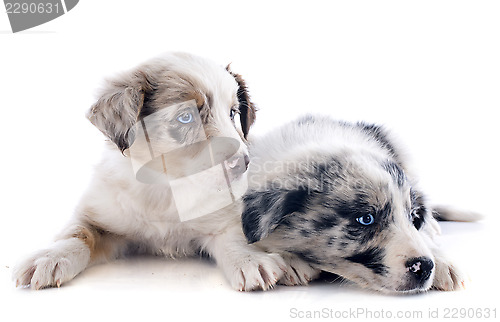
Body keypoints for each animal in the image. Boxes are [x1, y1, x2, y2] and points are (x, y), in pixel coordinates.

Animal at [12, 52, 286, 292]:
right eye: (186, 117)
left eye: (232, 113)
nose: (243, 163)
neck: (166, 188)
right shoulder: (101, 213)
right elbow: (77, 234)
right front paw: (49, 256)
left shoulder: (224, 215)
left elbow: (234, 237)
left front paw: (250, 260)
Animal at [242, 115, 480, 294]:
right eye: (366, 219)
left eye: (412, 217)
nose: (426, 267)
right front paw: (290, 261)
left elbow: (422, 235)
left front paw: (443, 263)